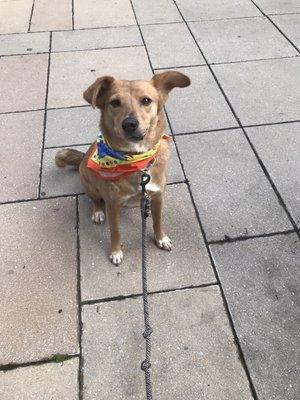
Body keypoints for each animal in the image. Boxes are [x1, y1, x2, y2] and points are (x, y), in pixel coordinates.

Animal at [55, 71, 190, 266]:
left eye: (146, 100)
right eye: (115, 102)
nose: (129, 123)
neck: (135, 160)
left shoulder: (158, 197)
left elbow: (157, 221)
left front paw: (161, 238)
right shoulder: (112, 205)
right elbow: (115, 232)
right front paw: (116, 251)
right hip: (89, 184)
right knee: (95, 200)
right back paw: (98, 212)